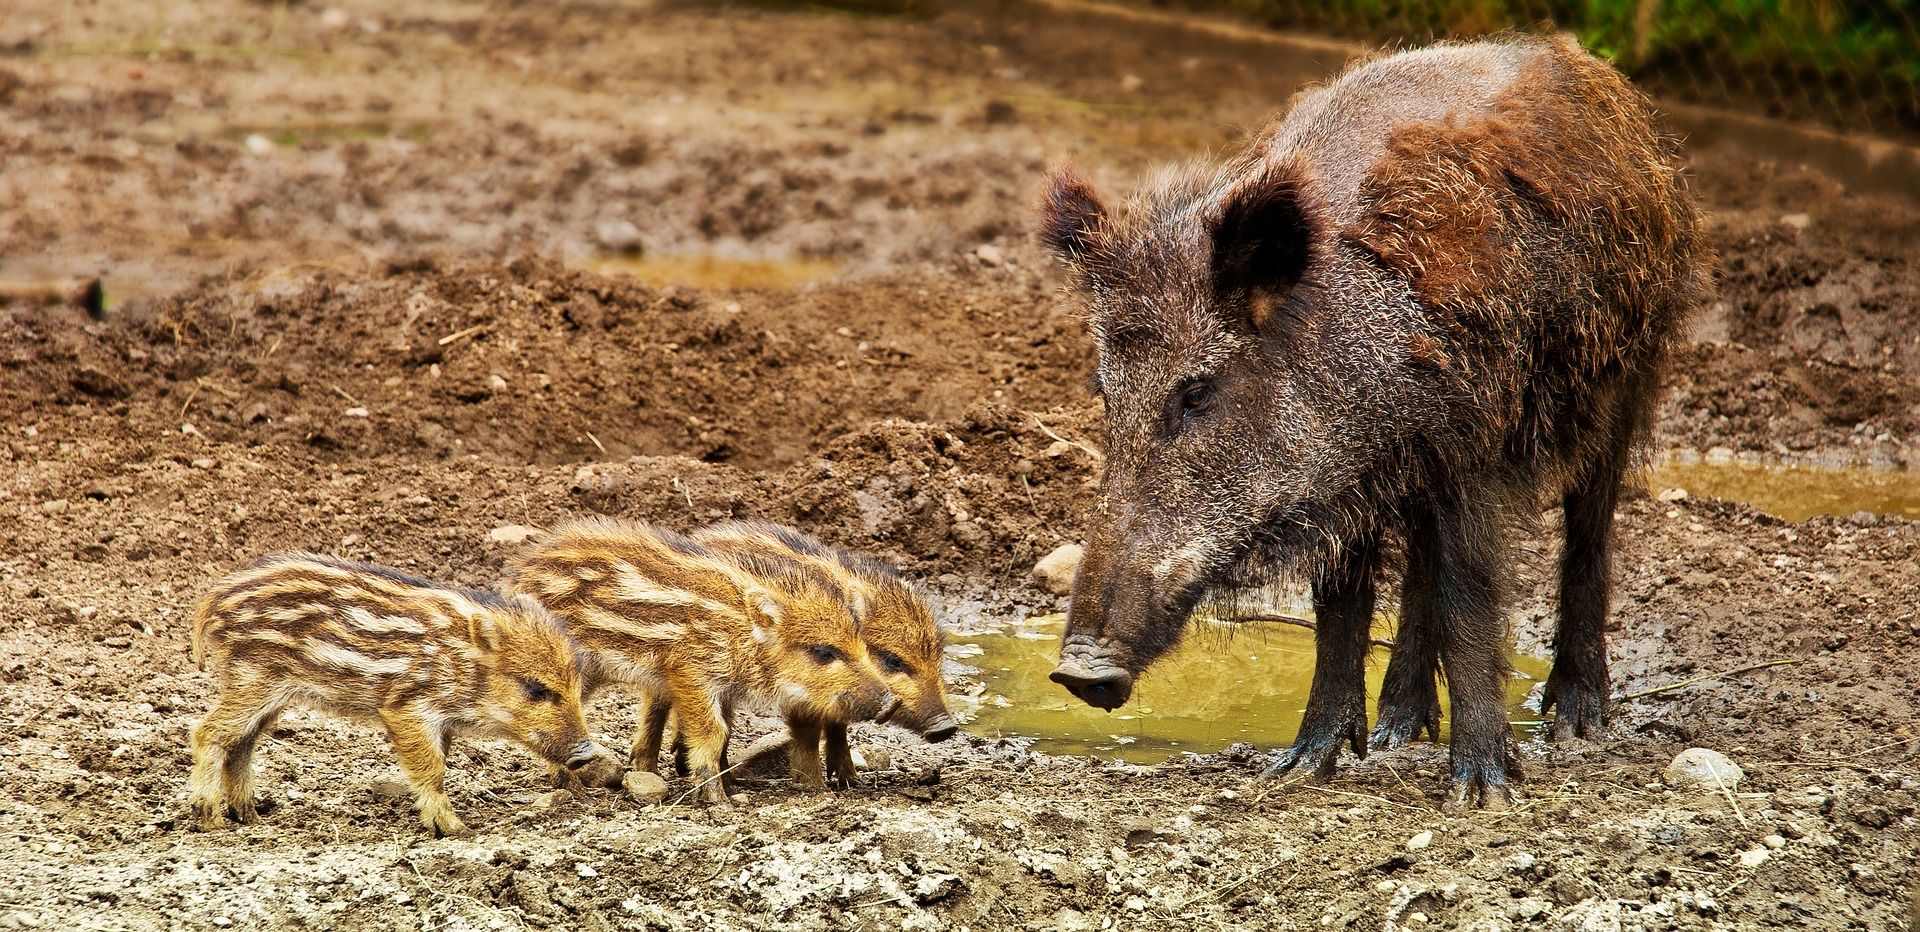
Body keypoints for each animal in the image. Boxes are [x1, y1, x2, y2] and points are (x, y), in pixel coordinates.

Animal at [189, 553, 616, 837]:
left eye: (576, 686)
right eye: (535, 689)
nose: (586, 752)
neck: (463, 665)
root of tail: (215, 599)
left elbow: (438, 765)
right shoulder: (408, 708)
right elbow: (432, 768)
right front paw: (456, 829)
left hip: (270, 691)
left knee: (242, 743)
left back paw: (250, 816)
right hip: (255, 679)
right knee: (209, 732)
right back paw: (211, 819)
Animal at [506, 518, 896, 805]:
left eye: (861, 645)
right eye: (824, 652)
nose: (889, 701)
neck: (742, 635)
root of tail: (518, 574)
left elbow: (724, 732)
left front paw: (730, 789)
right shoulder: (690, 672)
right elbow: (713, 732)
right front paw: (719, 801)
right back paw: (572, 790)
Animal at [691, 521, 957, 786]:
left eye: (938, 658)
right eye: (893, 661)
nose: (946, 728)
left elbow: (838, 726)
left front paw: (851, 781)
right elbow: (808, 732)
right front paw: (815, 785)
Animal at [1038, 35, 1710, 808]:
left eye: (1197, 393)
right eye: (1104, 390)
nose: (1079, 673)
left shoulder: (1469, 452)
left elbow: (1469, 599)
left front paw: (1483, 792)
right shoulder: (1345, 480)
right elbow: (1340, 610)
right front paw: (1298, 769)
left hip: (1632, 362)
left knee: (1590, 527)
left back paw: (1576, 719)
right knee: (1418, 566)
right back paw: (1397, 729)